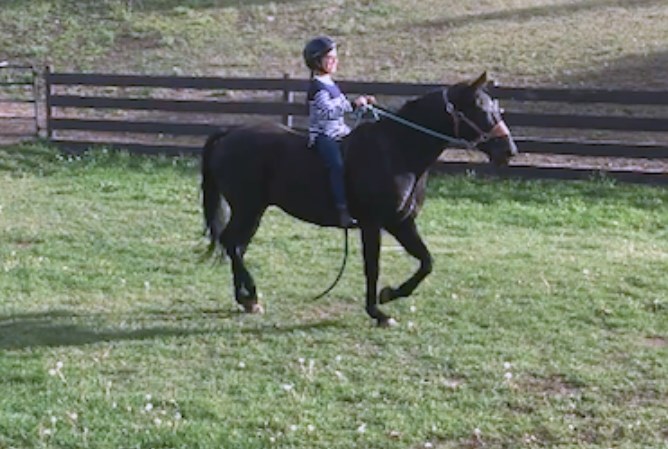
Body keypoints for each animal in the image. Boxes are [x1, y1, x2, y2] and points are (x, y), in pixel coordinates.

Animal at [201, 72, 520, 326]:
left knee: (236, 246)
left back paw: (245, 299)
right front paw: (377, 312)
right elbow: (373, 266)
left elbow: (426, 262)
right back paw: (251, 295)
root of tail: (229, 133)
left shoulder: (402, 222)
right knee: (231, 243)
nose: (509, 150)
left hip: (254, 211)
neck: (398, 151)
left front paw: (389, 294)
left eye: (494, 106)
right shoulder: (372, 224)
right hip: (247, 208)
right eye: (478, 107)